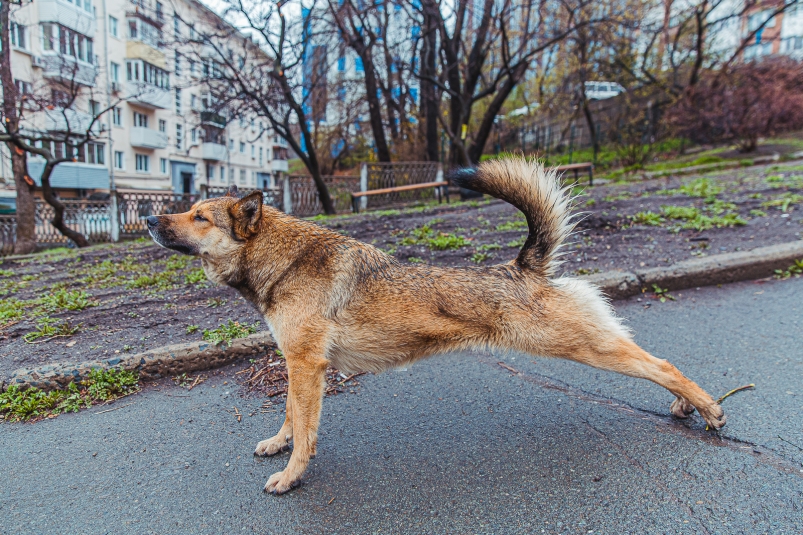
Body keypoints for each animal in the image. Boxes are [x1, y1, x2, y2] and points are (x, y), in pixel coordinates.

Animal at [146, 158, 728, 494]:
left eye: (200, 216)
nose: (150, 219)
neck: (284, 259)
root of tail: (521, 268)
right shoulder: (298, 367)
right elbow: (291, 420)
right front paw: (277, 445)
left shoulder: (307, 367)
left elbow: (306, 435)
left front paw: (291, 477)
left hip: (586, 346)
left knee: (662, 364)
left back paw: (707, 408)